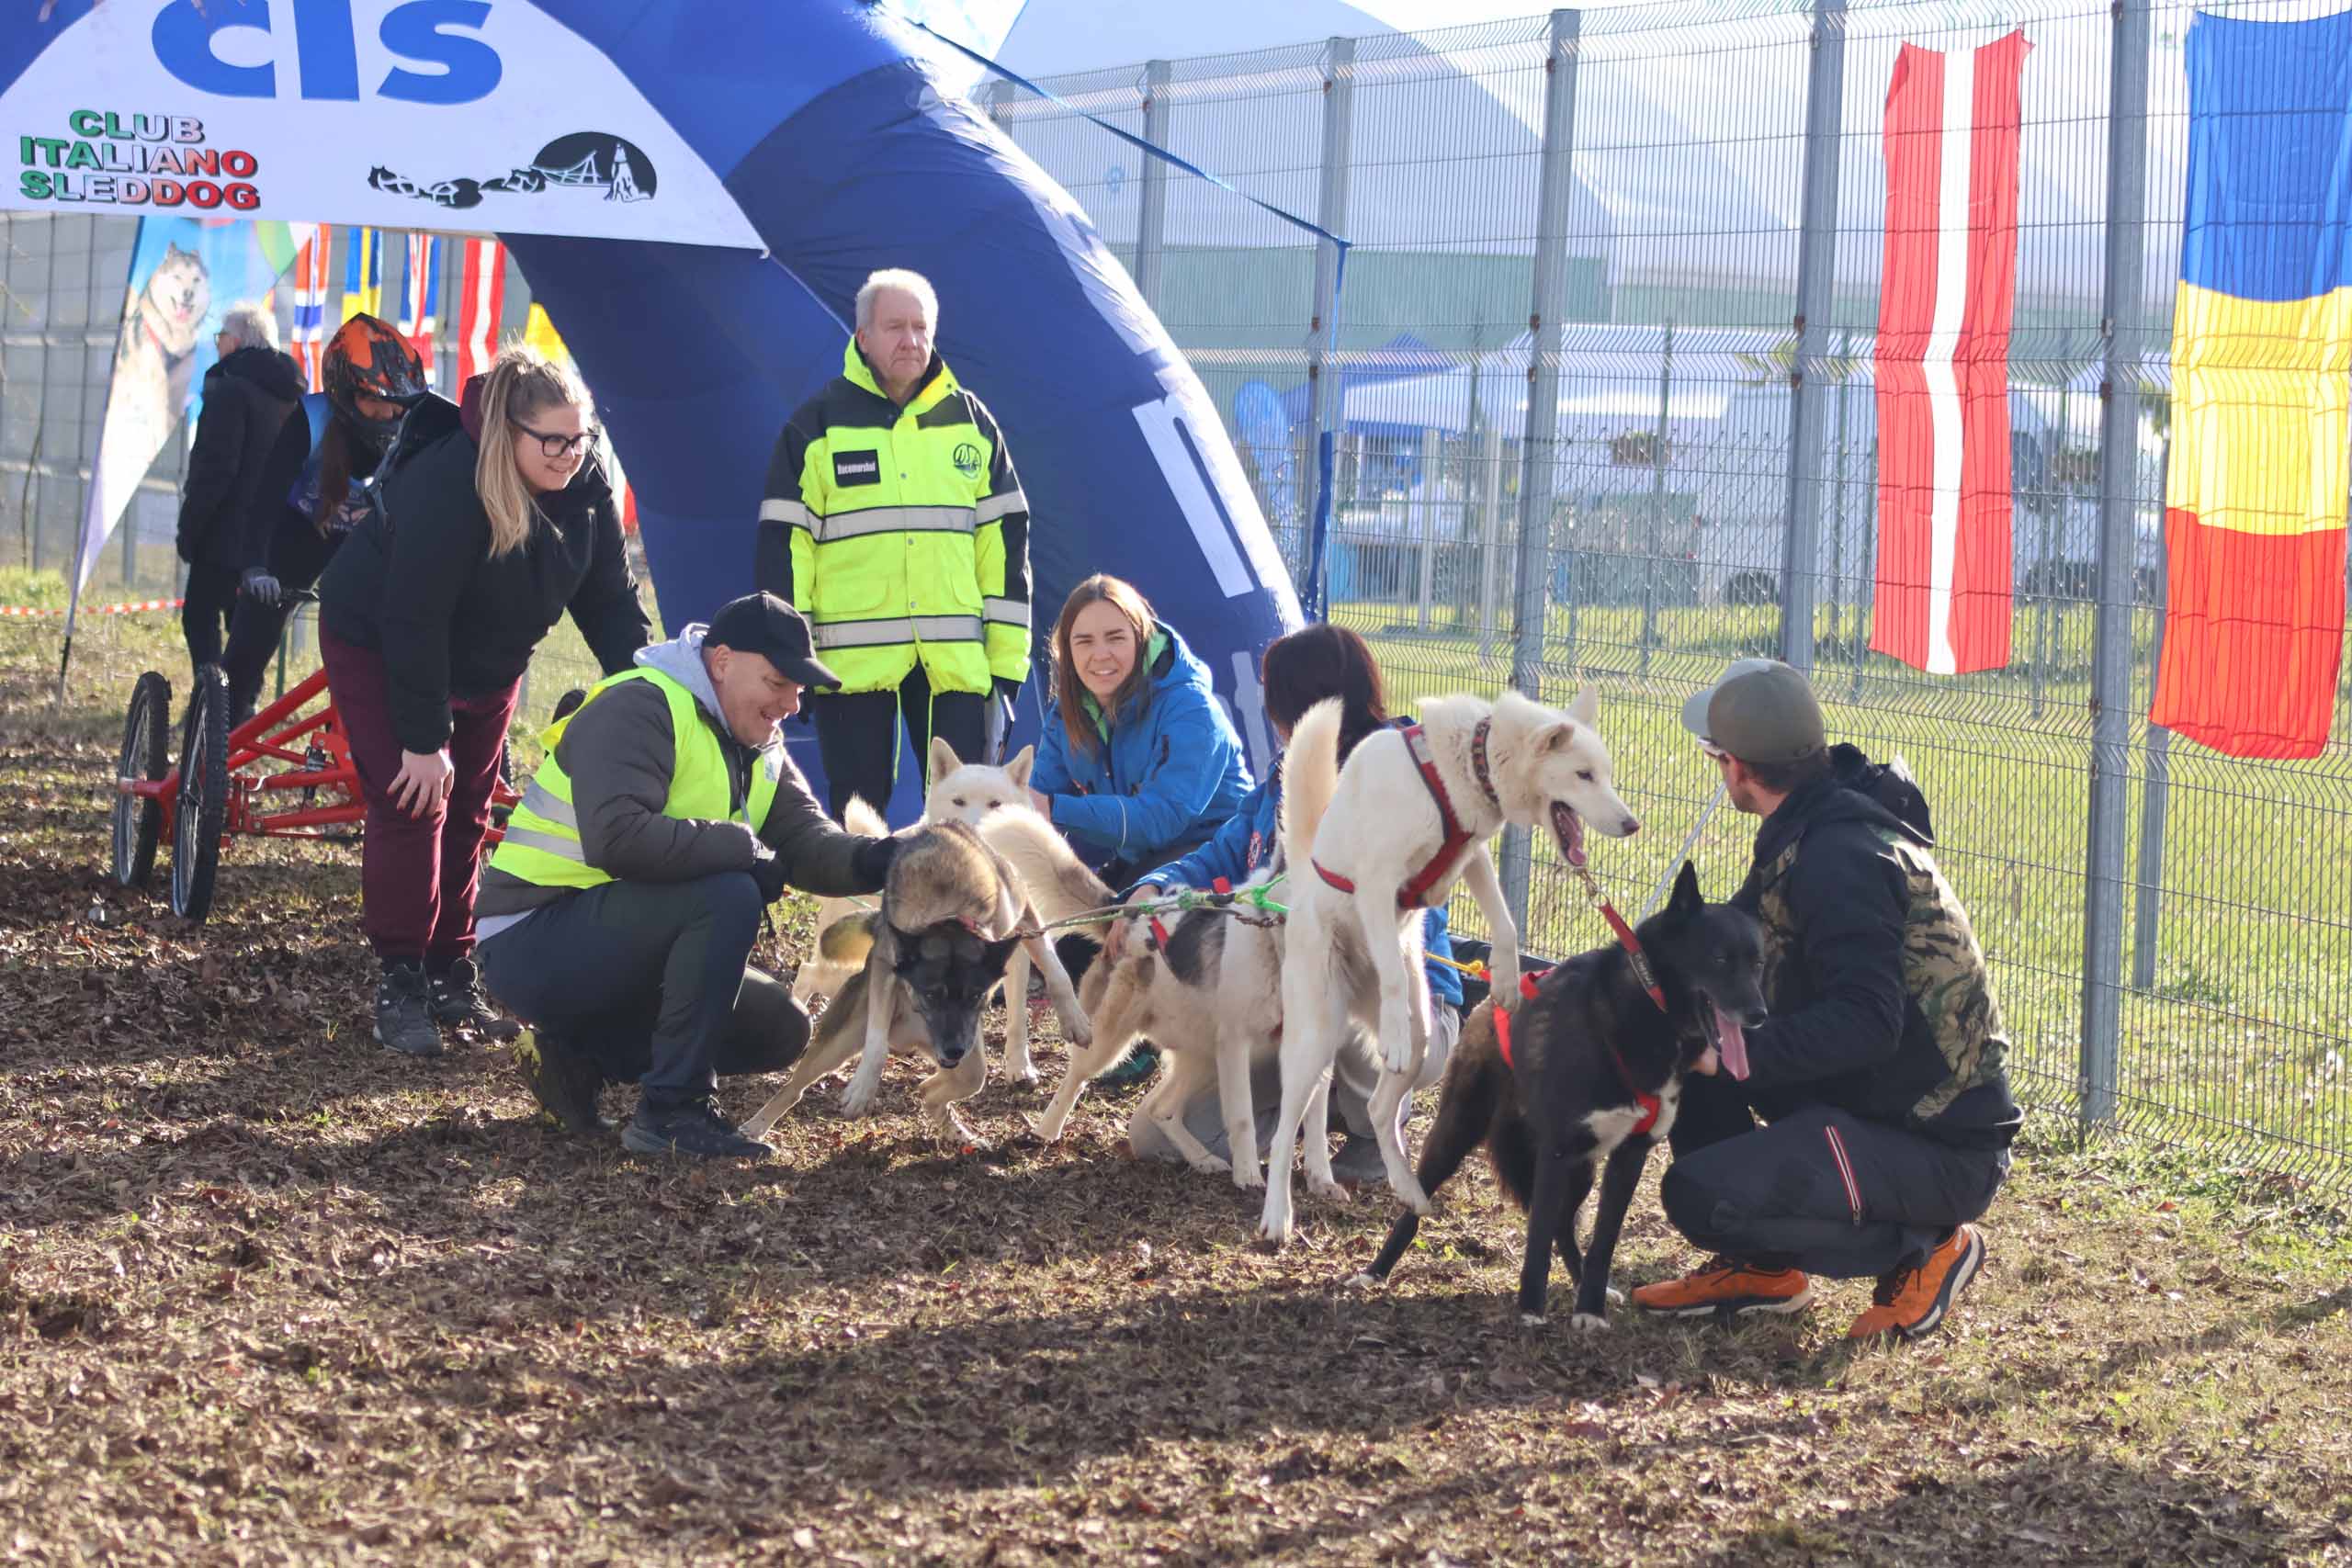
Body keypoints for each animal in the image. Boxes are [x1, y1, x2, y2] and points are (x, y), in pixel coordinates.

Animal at [741, 801, 1030, 1146]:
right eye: (930, 994)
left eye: (976, 996)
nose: (954, 1049)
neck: (948, 912)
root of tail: (907, 1040)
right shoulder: (884, 962)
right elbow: (876, 1047)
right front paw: (863, 1089)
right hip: (841, 1040)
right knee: (793, 1088)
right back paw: (756, 1127)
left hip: (958, 1059)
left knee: (952, 1083)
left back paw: (955, 1129)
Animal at [791, 739, 1089, 1086]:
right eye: (958, 801)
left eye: (995, 804)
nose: (973, 831)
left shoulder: (1018, 953)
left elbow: (1033, 1002)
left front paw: (1023, 1063)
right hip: (845, 969)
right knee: (807, 973)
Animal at [1259, 687, 1642, 1245]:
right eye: (1583, 775)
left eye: (1609, 774)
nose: (1633, 825)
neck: (1465, 765)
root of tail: (1304, 878)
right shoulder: (1378, 883)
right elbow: (1394, 973)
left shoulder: (1473, 856)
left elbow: (1505, 925)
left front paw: (1504, 980)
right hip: (1313, 1038)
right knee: (1287, 1125)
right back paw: (1277, 1214)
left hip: (1418, 1041)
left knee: (1375, 1109)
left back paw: (1403, 1187)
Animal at [1354, 861, 1766, 1329]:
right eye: (1719, 959)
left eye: (1757, 963)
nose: (1759, 1015)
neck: (1647, 1014)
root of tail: (1487, 999)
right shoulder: (1556, 1150)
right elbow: (1537, 1239)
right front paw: (1531, 1309)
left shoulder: (1628, 1156)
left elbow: (1602, 1242)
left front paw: (1589, 1309)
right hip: (1460, 1131)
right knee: (1420, 1202)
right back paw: (1376, 1271)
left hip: (1581, 1168)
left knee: (1564, 1227)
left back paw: (1585, 1284)